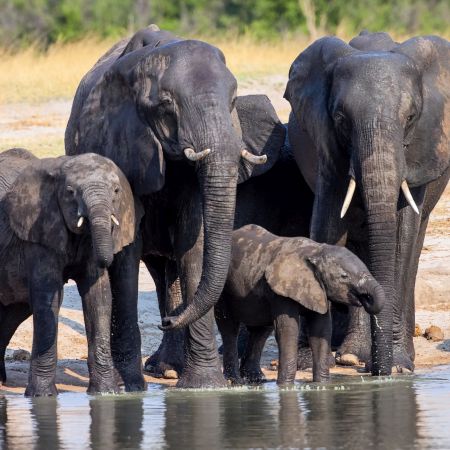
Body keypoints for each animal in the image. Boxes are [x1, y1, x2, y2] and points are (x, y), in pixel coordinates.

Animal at [0, 149, 139, 398]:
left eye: (116, 191)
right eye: (70, 192)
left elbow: (98, 297)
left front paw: (106, 394)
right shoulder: (38, 231)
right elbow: (48, 296)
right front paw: (42, 397)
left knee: (14, 312)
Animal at [65, 23, 284, 386]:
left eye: (233, 101)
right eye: (166, 104)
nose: (165, 322)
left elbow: (193, 243)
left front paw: (204, 385)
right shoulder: (120, 143)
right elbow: (128, 251)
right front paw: (131, 386)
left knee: (170, 271)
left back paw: (169, 366)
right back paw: (158, 365)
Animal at [214, 223, 384, 384]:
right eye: (344, 276)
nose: (366, 298)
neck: (316, 251)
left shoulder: (318, 289)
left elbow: (321, 330)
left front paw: (322, 384)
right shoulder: (280, 290)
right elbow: (288, 330)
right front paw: (285, 385)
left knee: (260, 331)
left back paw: (256, 379)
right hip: (225, 291)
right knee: (229, 328)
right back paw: (236, 380)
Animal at [284, 31, 450, 374]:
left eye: (411, 118)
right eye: (341, 119)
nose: (378, 371)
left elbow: (401, 235)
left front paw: (398, 366)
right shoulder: (327, 143)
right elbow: (328, 223)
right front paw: (308, 362)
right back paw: (351, 357)